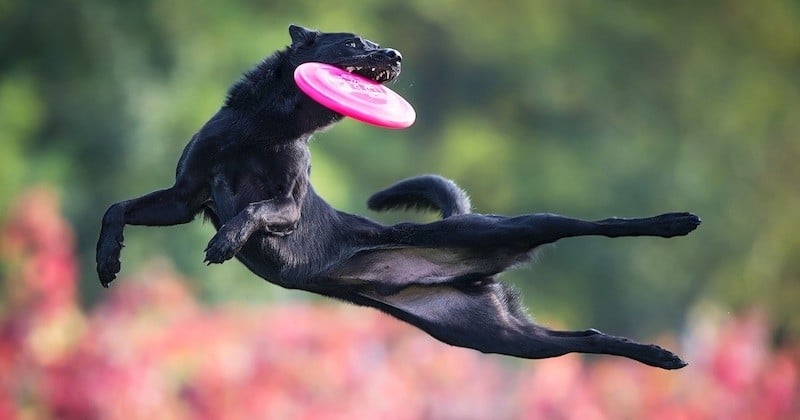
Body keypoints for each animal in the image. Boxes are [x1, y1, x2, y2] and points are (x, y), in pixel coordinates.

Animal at [98, 24, 700, 370]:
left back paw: (675, 222)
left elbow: (255, 209)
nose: (395, 53)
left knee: (587, 224)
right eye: (353, 43)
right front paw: (107, 260)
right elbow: (116, 208)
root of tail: (468, 274)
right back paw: (659, 355)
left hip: (511, 229)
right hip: (496, 337)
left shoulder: (286, 206)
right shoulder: (183, 197)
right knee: (583, 336)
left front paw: (226, 240)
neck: (264, 129)